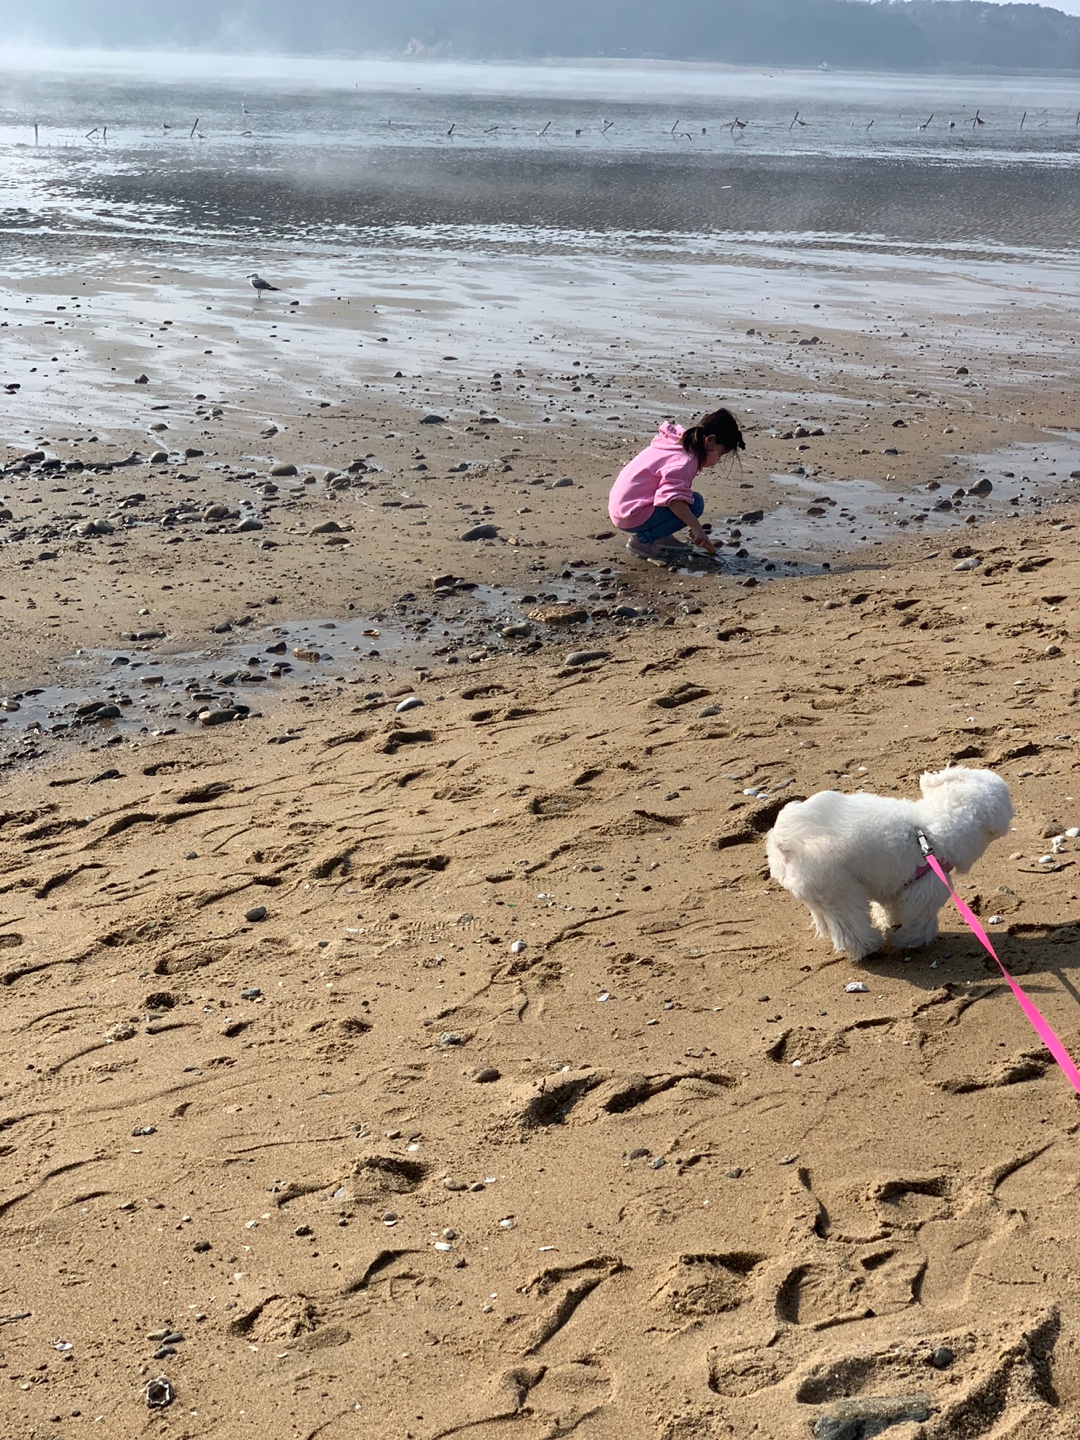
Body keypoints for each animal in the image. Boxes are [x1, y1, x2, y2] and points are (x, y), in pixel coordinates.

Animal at [771, 771, 1013, 961]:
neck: (932, 834)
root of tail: (787, 842)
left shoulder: (895, 887)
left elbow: (891, 908)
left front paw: (892, 924)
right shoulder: (924, 891)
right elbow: (920, 921)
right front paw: (907, 939)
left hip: (820, 894)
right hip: (840, 890)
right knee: (851, 927)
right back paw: (869, 946)